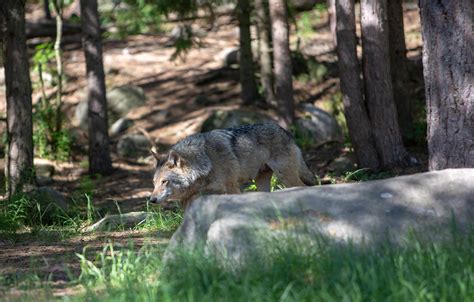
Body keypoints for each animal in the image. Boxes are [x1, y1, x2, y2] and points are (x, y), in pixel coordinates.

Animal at [150, 121, 316, 209]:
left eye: (164, 181)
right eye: (154, 183)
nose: (152, 200)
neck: (205, 160)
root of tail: (283, 130)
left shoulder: (231, 188)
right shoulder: (192, 199)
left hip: (285, 176)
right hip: (262, 182)